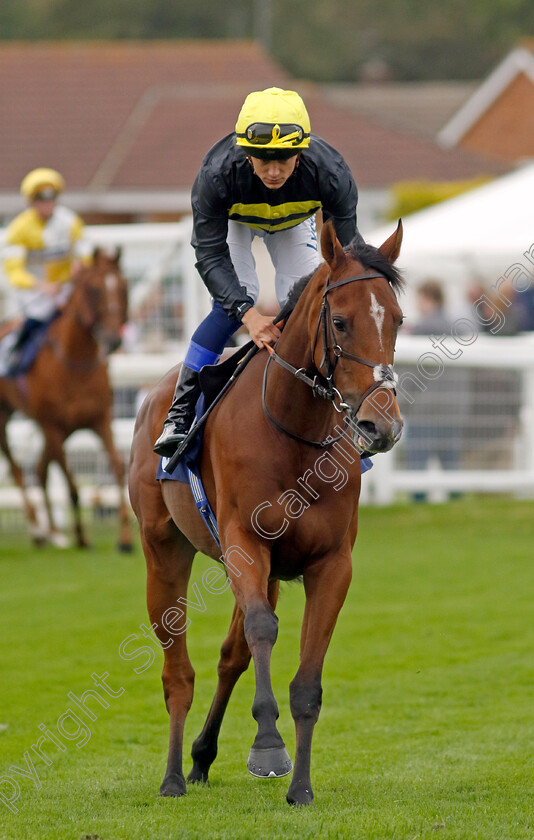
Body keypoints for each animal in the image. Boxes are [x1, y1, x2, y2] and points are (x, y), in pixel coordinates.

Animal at [0, 249, 133, 552]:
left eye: (123, 286)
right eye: (94, 289)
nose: (113, 340)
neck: (75, 364)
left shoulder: (101, 419)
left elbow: (119, 469)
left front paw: (125, 538)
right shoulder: (52, 426)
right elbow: (72, 486)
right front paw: (82, 537)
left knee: (39, 470)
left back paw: (53, 533)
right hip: (9, 420)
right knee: (18, 470)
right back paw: (38, 530)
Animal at [129, 223, 406, 808]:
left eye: (397, 319)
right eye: (340, 321)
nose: (382, 425)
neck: (294, 431)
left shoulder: (331, 563)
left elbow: (305, 679)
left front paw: (301, 786)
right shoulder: (243, 544)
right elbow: (261, 630)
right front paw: (268, 748)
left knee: (230, 655)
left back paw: (201, 757)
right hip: (163, 551)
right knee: (178, 670)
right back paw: (172, 775)